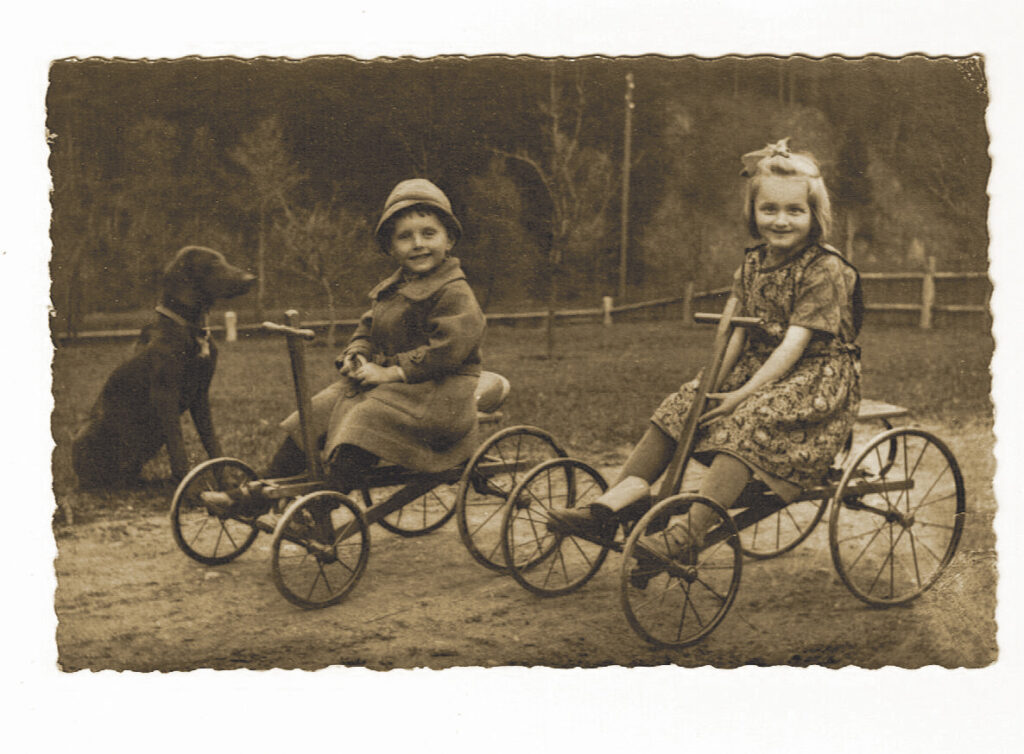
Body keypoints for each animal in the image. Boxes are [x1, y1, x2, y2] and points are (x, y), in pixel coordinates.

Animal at [71, 246, 256, 487]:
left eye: (223, 260)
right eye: (213, 264)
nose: (251, 279)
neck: (192, 328)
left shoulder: (201, 395)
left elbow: (214, 445)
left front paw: (225, 485)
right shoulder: (165, 395)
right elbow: (179, 452)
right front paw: (191, 490)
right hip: (84, 433)